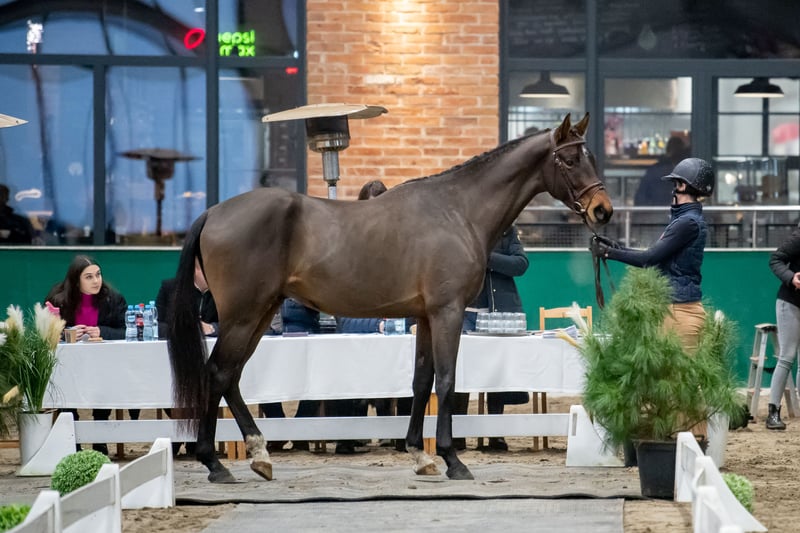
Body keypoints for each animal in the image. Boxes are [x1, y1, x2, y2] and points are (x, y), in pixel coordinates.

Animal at [168, 113, 613, 483]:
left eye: (589, 156)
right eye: (569, 159)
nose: (603, 211)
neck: (457, 211)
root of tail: (213, 213)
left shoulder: (426, 317)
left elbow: (421, 381)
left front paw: (421, 455)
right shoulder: (447, 312)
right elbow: (447, 381)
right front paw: (453, 460)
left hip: (259, 314)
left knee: (230, 376)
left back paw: (257, 456)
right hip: (244, 315)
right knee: (218, 372)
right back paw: (216, 463)